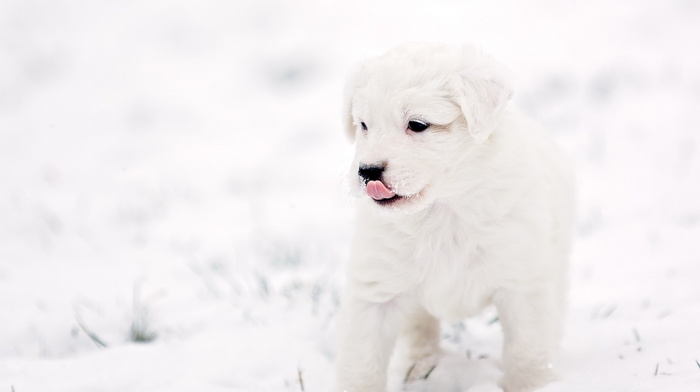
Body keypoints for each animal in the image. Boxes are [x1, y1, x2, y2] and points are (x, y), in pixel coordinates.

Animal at [334, 43, 576, 392]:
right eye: (364, 125)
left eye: (417, 124)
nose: (367, 172)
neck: (442, 208)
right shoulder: (376, 290)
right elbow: (362, 361)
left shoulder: (522, 282)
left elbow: (528, 350)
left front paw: (535, 383)